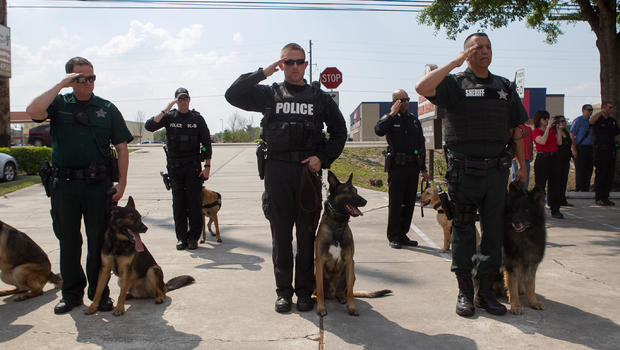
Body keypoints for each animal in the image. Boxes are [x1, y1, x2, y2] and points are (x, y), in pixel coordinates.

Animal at [314, 171, 392, 316]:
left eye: (356, 190)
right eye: (347, 192)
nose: (365, 201)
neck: (338, 225)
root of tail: (331, 294)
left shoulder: (350, 261)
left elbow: (350, 290)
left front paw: (351, 307)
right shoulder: (319, 261)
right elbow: (320, 289)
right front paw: (321, 308)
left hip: (353, 274)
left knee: (344, 291)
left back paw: (342, 297)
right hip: (315, 273)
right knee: (318, 291)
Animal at [504, 183, 548, 314]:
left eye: (527, 210)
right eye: (514, 210)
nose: (515, 222)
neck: (525, 236)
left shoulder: (532, 263)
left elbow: (531, 285)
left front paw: (533, 302)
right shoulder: (512, 265)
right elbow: (512, 285)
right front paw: (516, 305)